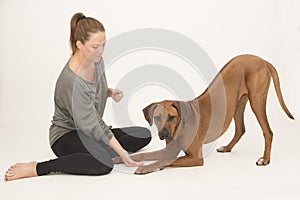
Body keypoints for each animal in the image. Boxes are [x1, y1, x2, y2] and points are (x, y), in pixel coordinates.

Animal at [113, 54, 294, 174]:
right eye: (157, 117)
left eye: (172, 117)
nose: (164, 134)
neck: (180, 126)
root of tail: (262, 59)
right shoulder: (168, 149)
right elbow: (144, 154)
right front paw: (121, 158)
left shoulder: (195, 157)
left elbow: (167, 159)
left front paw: (148, 167)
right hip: (237, 104)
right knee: (240, 129)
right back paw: (227, 147)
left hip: (257, 101)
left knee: (268, 132)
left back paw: (265, 159)